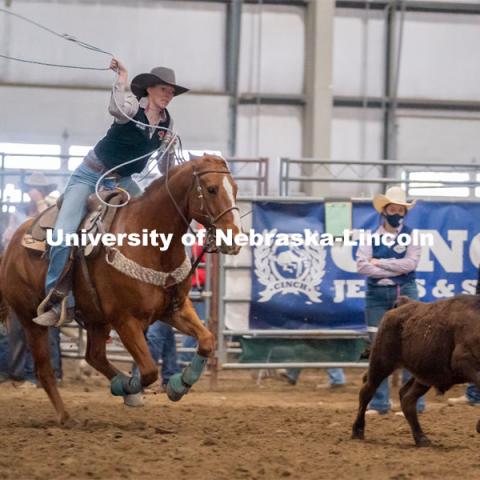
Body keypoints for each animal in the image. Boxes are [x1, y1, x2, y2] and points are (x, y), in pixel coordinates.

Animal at [0, 155, 242, 424]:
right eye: (211, 189)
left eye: (235, 189)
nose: (234, 239)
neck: (152, 242)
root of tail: (10, 246)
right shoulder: (125, 319)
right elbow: (148, 371)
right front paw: (132, 387)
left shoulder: (174, 309)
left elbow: (207, 340)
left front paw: (179, 385)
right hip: (30, 319)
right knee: (45, 369)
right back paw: (66, 416)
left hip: (96, 319)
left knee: (94, 355)